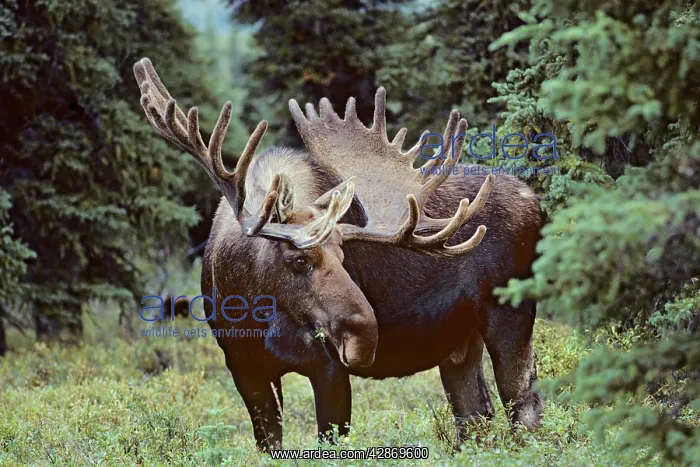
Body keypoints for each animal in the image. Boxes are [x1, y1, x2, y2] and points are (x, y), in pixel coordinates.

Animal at [133, 58, 544, 452]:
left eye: (344, 257)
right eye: (300, 259)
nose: (365, 336)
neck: (255, 307)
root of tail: (537, 202)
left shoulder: (329, 368)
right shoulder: (244, 368)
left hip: (511, 314)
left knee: (525, 410)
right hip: (459, 344)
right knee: (476, 418)